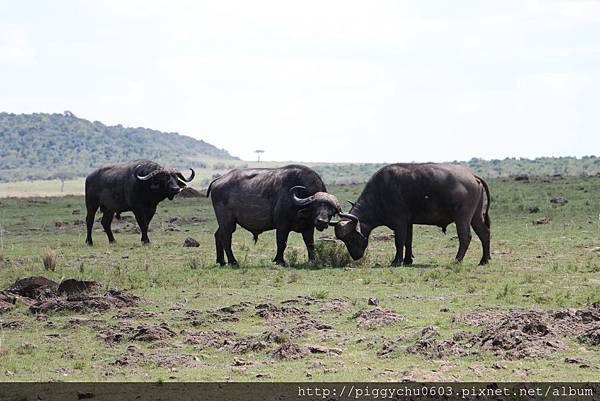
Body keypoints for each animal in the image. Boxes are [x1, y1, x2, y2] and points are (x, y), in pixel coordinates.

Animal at [207, 164, 342, 264]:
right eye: (316, 206)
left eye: (332, 211)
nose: (322, 222)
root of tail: (218, 179)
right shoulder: (282, 226)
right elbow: (282, 243)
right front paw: (279, 260)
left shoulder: (308, 228)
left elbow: (310, 244)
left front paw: (312, 260)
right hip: (228, 221)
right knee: (226, 237)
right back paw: (233, 261)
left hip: (224, 222)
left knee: (218, 235)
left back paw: (221, 261)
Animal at [332, 162, 492, 266]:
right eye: (344, 239)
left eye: (352, 237)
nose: (356, 256)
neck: (380, 193)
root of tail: (472, 175)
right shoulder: (408, 223)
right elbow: (408, 241)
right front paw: (408, 260)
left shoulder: (400, 223)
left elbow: (399, 242)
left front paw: (396, 261)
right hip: (475, 216)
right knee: (484, 233)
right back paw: (484, 260)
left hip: (462, 217)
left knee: (465, 237)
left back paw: (457, 260)